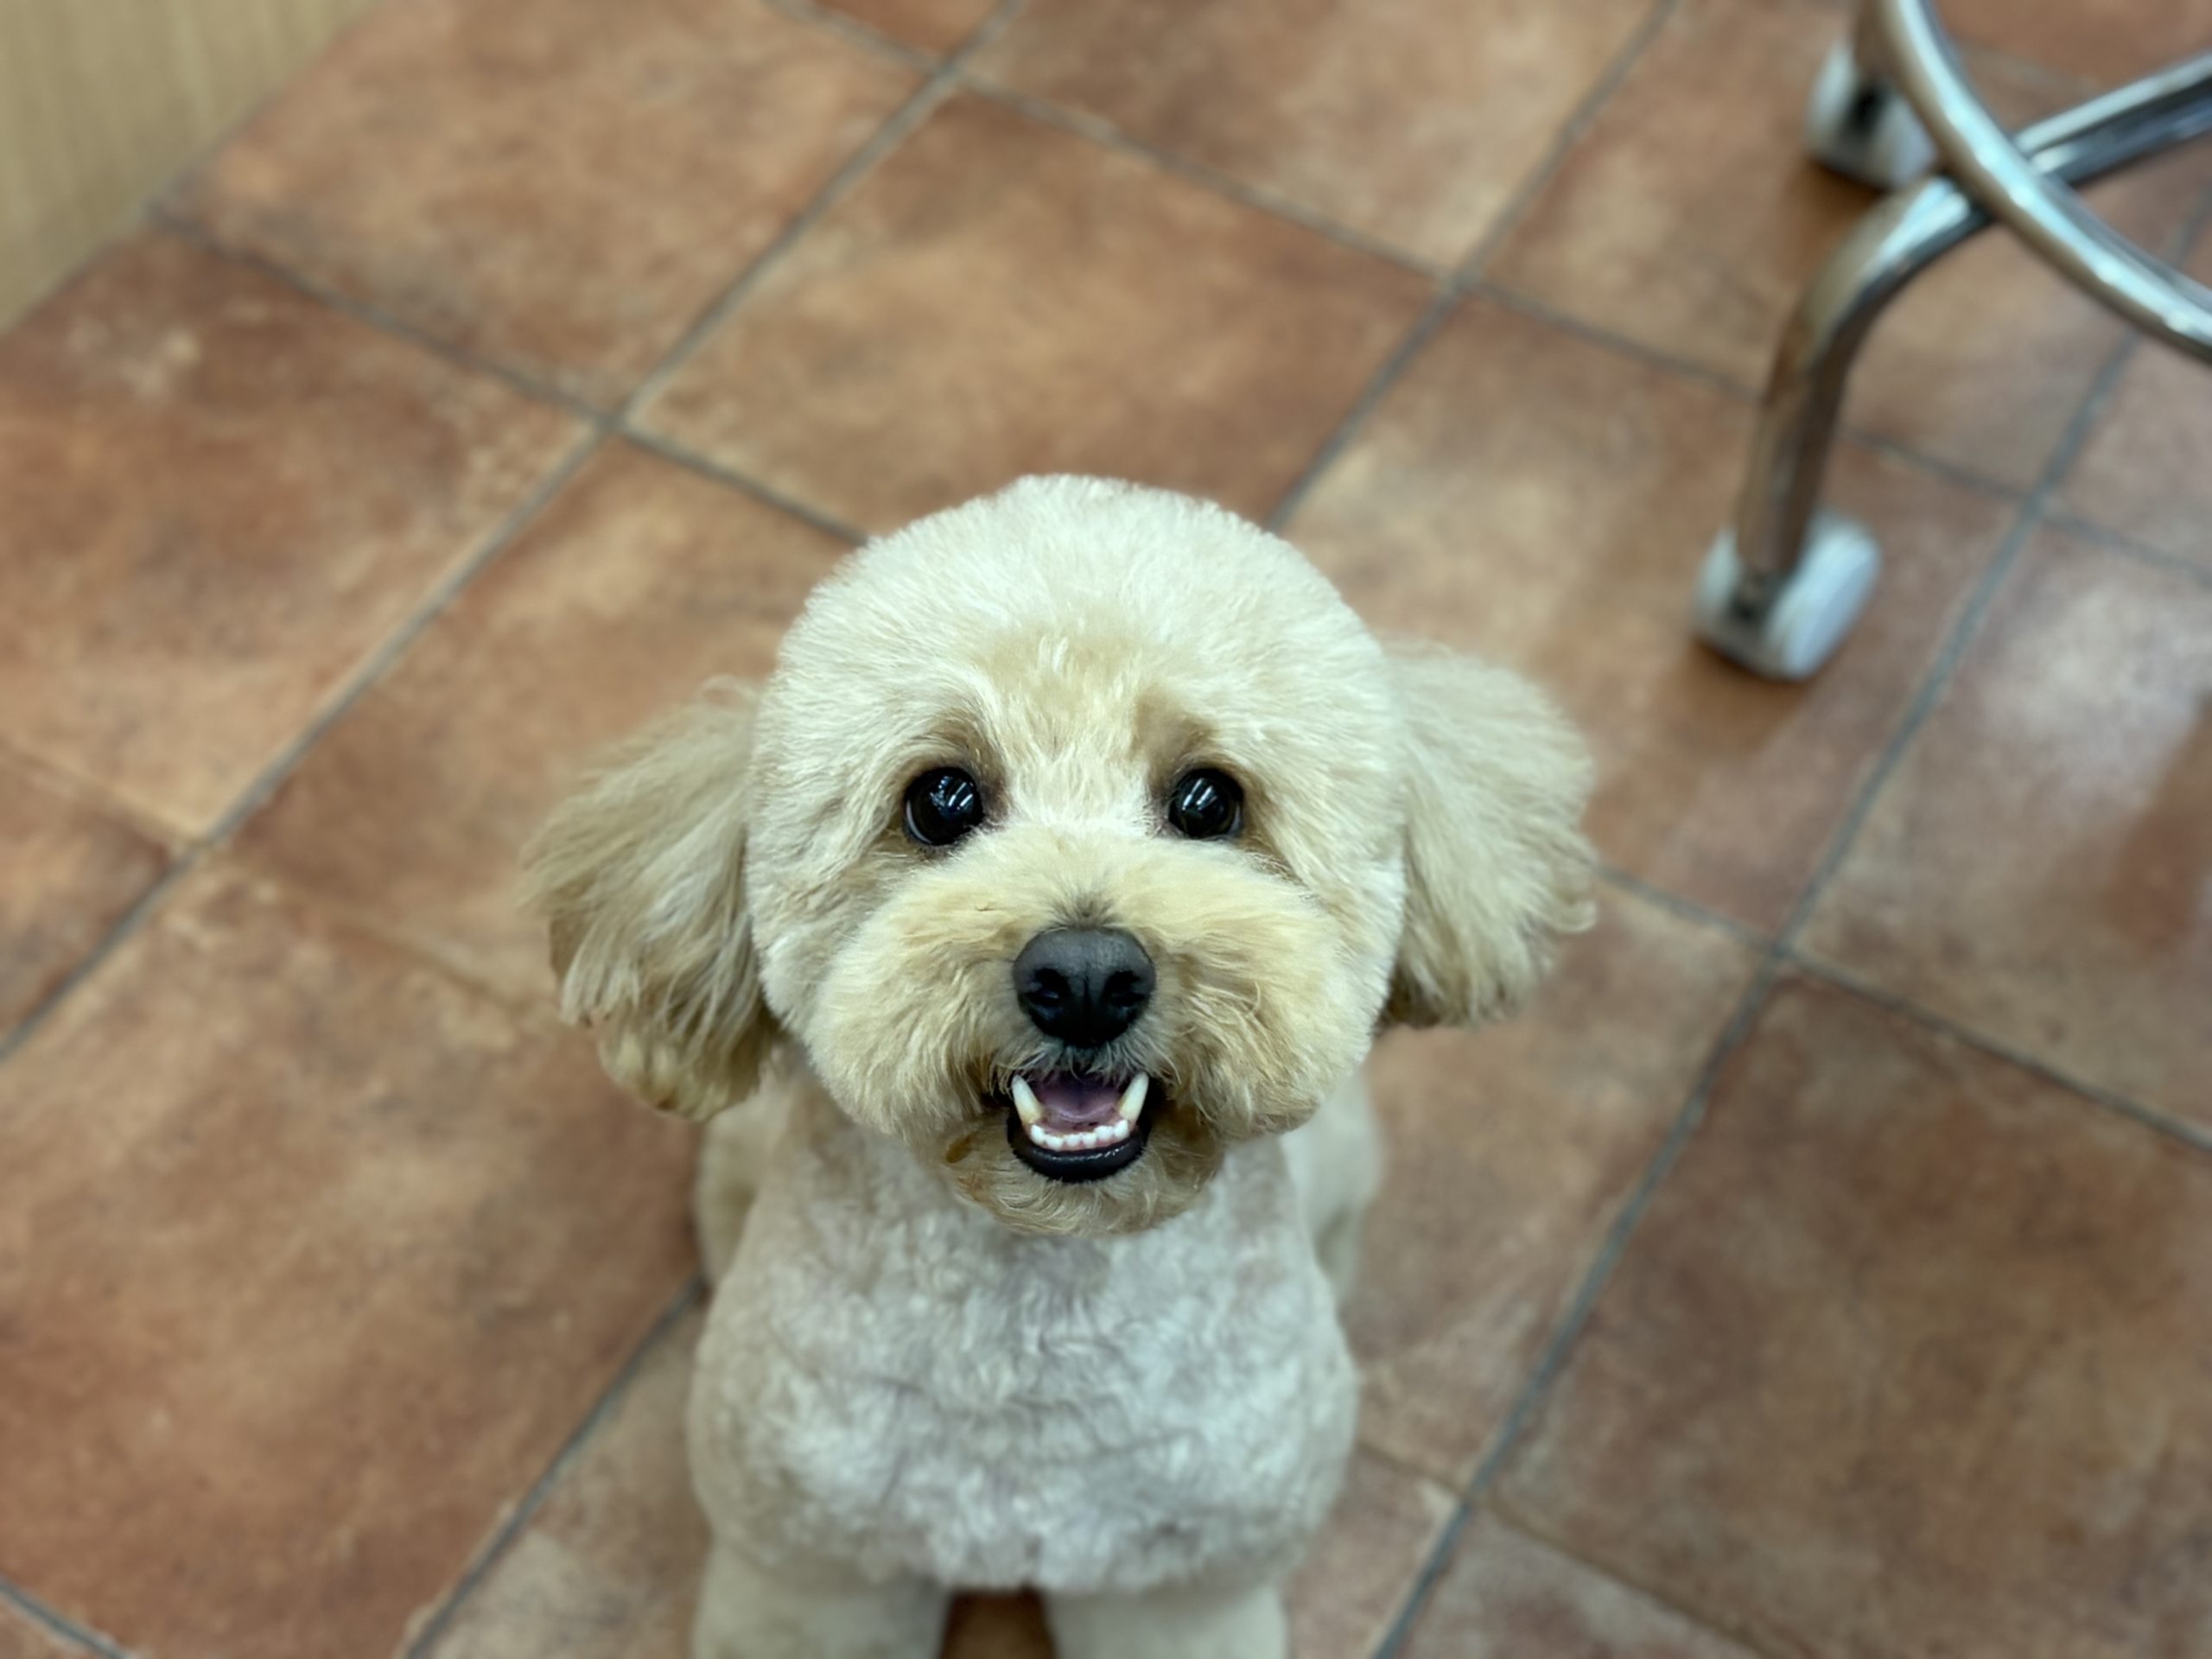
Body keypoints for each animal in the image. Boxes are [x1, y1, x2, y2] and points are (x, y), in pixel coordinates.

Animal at [523, 475, 1594, 1658]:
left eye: (1209, 800)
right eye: (940, 799)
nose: (1085, 977)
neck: (1043, 1310)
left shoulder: (1181, 1591)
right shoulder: (812, 1568)